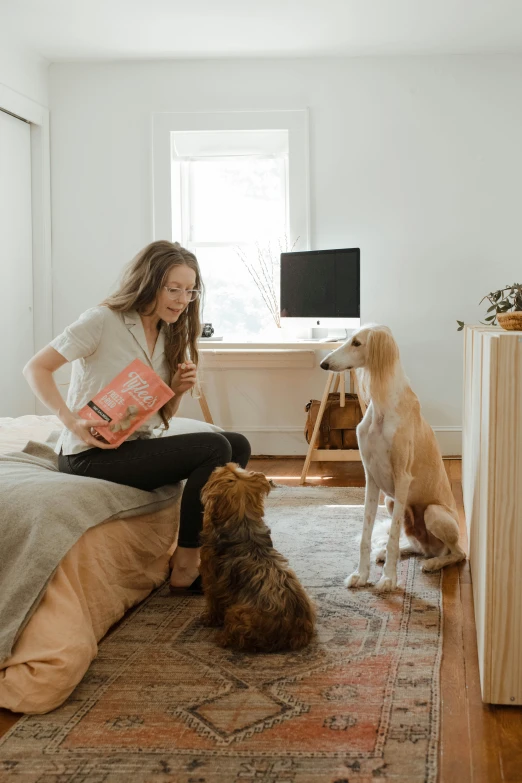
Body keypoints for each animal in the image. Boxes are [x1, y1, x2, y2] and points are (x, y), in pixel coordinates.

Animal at [198, 462, 312, 652]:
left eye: (225, 470)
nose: (224, 464)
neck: (243, 522)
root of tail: (294, 632)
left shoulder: (210, 577)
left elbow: (213, 601)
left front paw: (208, 618)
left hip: (237, 613)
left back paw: (221, 638)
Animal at [318, 326, 466, 596]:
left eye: (357, 343)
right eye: (347, 339)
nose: (324, 364)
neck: (382, 408)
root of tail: (433, 549)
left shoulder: (402, 479)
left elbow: (393, 537)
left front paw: (388, 579)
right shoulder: (371, 478)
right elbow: (366, 535)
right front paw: (361, 575)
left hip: (434, 513)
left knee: (458, 553)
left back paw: (434, 563)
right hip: (389, 501)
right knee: (417, 547)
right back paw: (389, 553)